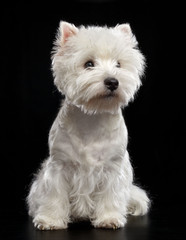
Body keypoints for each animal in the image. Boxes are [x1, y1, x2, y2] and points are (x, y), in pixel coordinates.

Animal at [26, 21, 150, 230]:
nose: (112, 81)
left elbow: (109, 195)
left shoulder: (112, 168)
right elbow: (54, 195)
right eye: (89, 64)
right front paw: (50, 220)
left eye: (118, 64)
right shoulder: (59, 166)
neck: (93, 118)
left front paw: (109, 218)